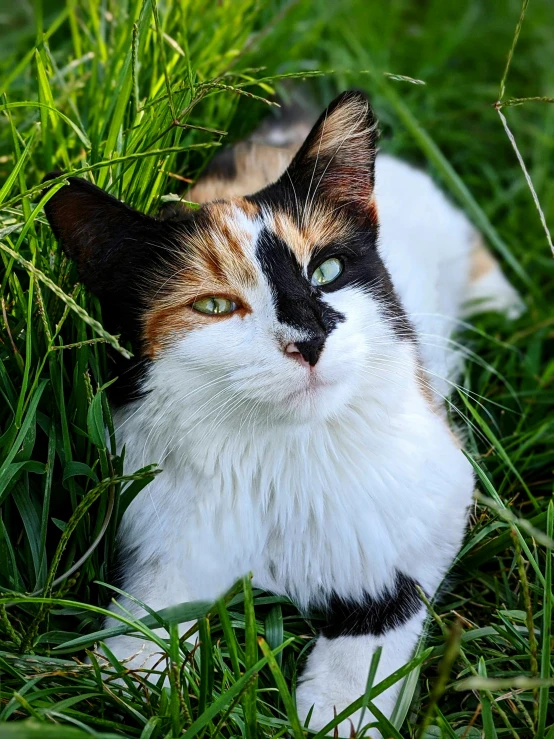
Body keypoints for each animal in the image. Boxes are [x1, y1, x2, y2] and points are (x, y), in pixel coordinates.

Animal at [44, 91, 520, 736]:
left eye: (327, 272)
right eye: (214, 307)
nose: (310, 339)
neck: (283, 456)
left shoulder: (438, 497)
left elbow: (386, 598)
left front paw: (343, 708)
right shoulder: (170, 524)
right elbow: (153, 605)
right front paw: (131, 671)